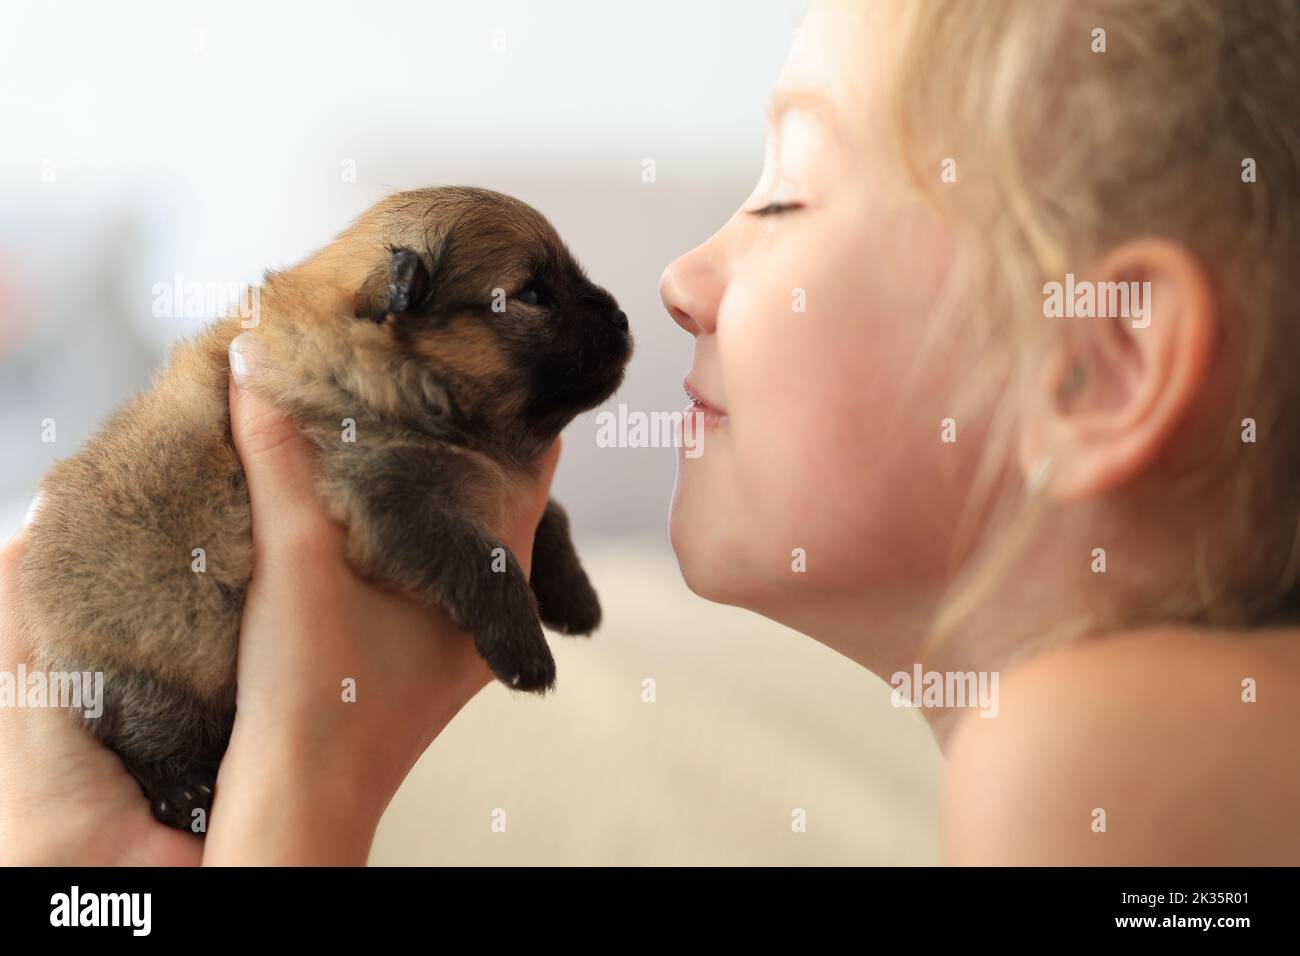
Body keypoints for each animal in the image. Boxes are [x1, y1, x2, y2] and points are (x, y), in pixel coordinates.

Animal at [17, 188, 631, 832]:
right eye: (534, 293)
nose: (622, 318)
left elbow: (551, 514)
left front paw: (575, 595)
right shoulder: (386, 498)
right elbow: (487, 557)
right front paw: (522, 645)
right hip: (147, 672)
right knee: (142, 738)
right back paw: (180, 793)